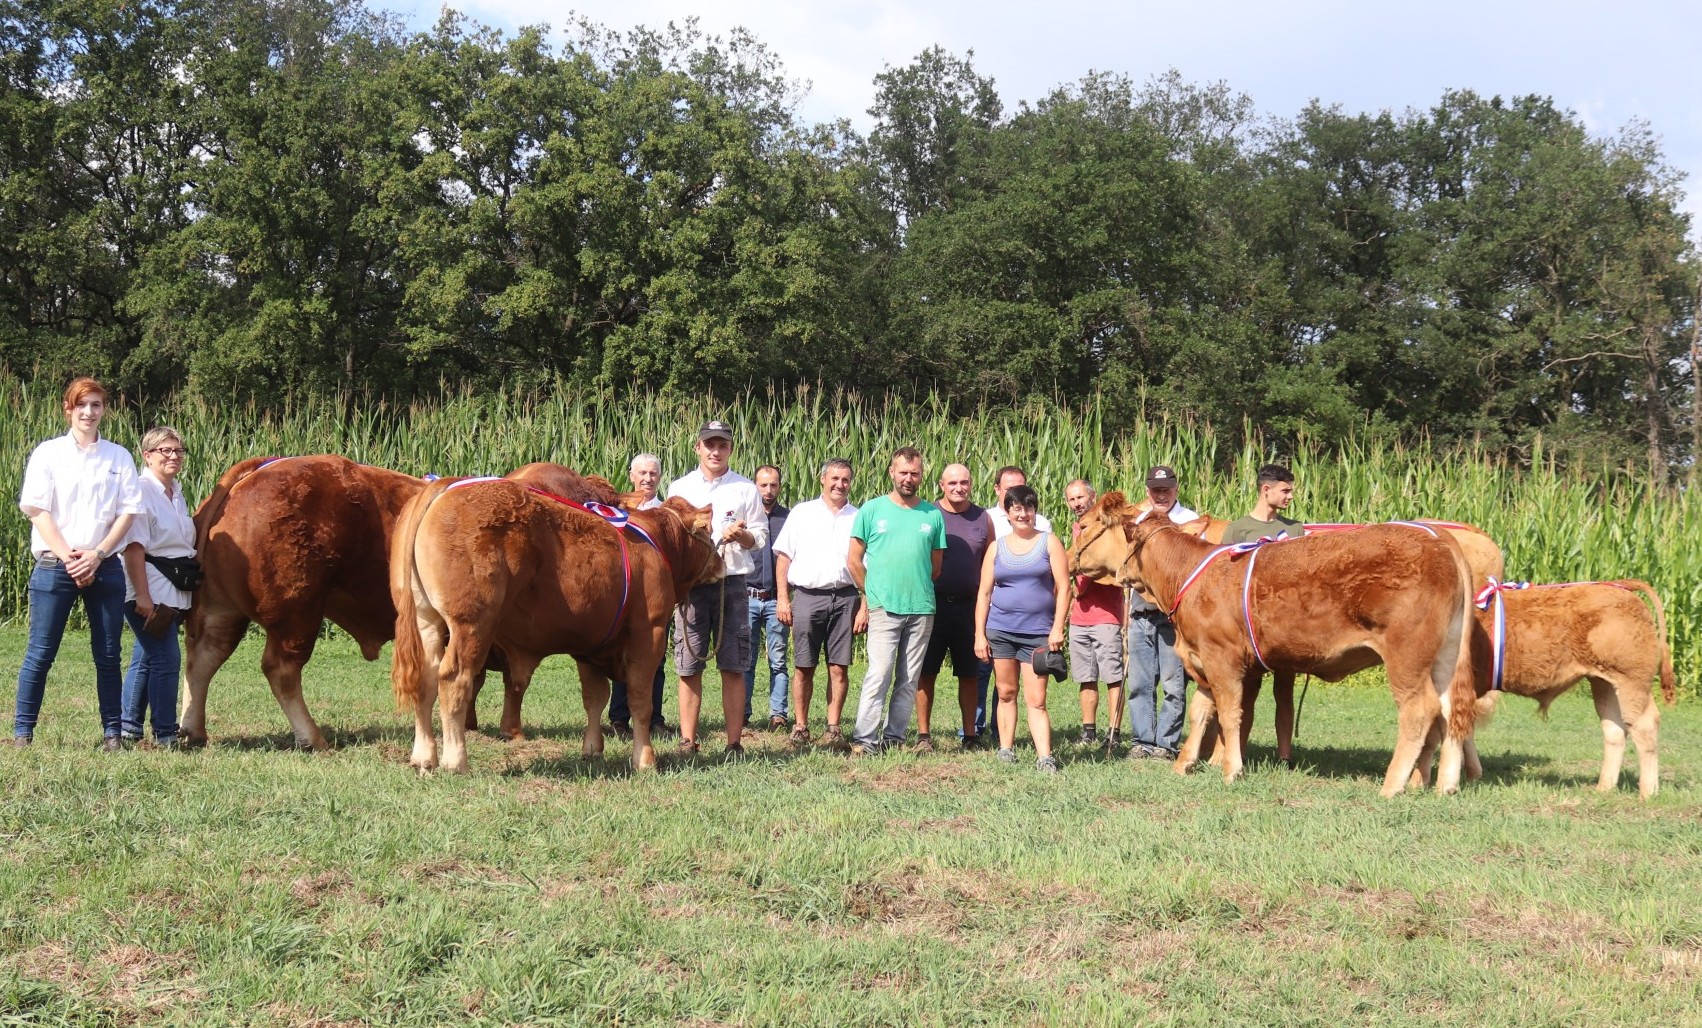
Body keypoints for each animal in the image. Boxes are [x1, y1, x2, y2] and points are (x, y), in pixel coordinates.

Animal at [182, 456, 622, 745]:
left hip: (223, 610)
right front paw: (507, 730)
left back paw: (193, 729)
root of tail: (259, 471)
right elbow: (514, 680)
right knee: (280, 669)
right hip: (298, 611)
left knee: (203, 658)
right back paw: (311, 736)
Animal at [391, 473, 718, 769]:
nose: (721, 562)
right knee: (454, 678)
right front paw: (645, 759)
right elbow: (640, 700)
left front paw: (592, 749)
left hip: (426, 621)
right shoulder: (649, 633)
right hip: (471, 623)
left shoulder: (591, 645)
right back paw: (455, 760)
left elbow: (595, 697)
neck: (656, 542)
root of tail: (446, 484)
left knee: (426, 678)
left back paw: (424, 757)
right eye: (708, 531)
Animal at [1068, 493, 1484, 799]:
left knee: (1420, 710)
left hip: (1407, 654)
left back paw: (1393, 785)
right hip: (1443, 656)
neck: (1184, 575)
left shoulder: (1223, 659)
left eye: (1084, 525)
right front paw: (1184, 764)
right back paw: (1443, 784)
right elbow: (1201, 713)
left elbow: (1230, 714)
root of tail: (1439, 538)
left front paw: (1231, 769)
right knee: (1450, 710)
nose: (1070, 560)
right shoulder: (1202, 660)